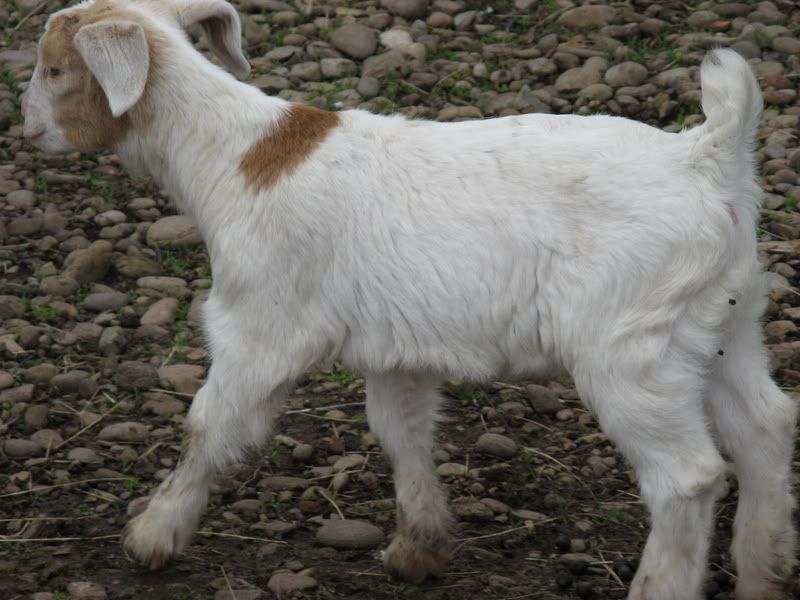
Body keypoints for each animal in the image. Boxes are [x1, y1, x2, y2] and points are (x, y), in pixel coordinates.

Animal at [21, 1, 797, 598]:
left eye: (55, 69)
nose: (26, 129)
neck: (231, 155)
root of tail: (708, 156)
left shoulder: (259, 325)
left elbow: (209, 425)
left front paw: (153, 535)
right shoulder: (395, 346)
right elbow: (401, 431)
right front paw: (418, 547)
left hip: (632, 347)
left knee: (689, 477)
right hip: (723, 326)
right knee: (765, 425)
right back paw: (762, 575)